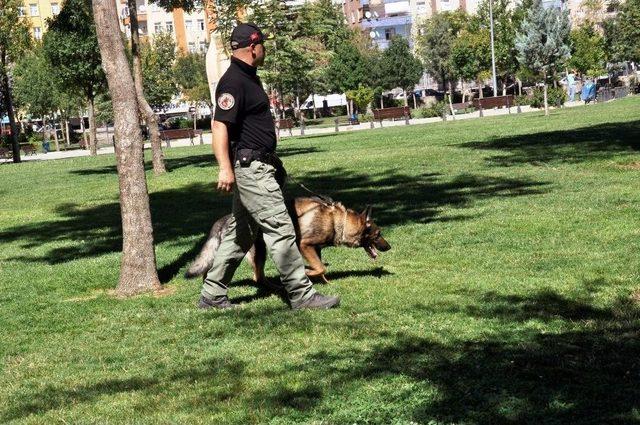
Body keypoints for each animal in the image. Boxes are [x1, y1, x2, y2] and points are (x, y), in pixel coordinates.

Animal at [185, 197, 390, 284]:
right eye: (379, 234)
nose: (389, 246)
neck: (338, 221)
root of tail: (224, 219)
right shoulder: (304, 245)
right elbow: (320, 267)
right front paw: (308, 272)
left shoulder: (315, 249)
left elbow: (321, 268)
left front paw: (325, 282)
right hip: (256, 252)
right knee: (255, 276)